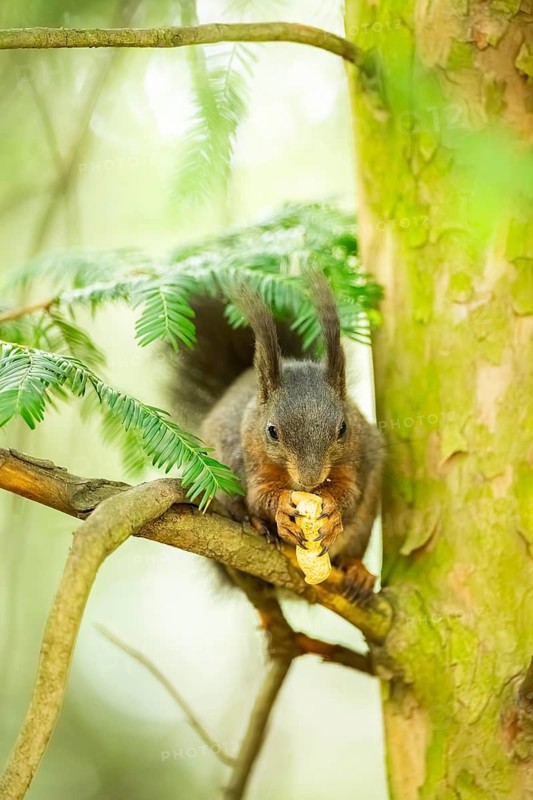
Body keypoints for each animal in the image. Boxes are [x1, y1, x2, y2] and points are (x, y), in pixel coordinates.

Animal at [172, 278, 384, 602]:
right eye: (272, 431)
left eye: (343, 428)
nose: (310, 479)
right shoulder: (252, 457)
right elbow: (260, 497)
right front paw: (281, 510)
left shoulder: (355, 457)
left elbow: (350, 494)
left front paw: (334, 512)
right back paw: (259, 527)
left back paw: (357, 572)